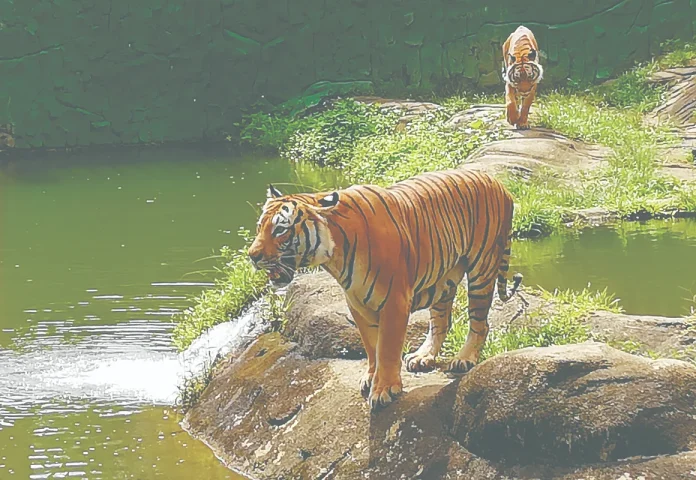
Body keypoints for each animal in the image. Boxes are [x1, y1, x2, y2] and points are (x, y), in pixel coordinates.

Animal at [247, 169, 522, 411]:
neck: (334, 254)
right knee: (441, 322)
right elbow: (371, 346)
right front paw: (372, 377)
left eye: (280, 230)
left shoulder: (394, 301)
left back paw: (464, 358)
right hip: (444, 277)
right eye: (260, 227)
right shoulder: (356, 302)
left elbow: (387, 347)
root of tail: (499, 184)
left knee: (480, 323)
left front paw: (384, 390)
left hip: (481, 269)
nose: (252, 256)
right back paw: (422, 356)